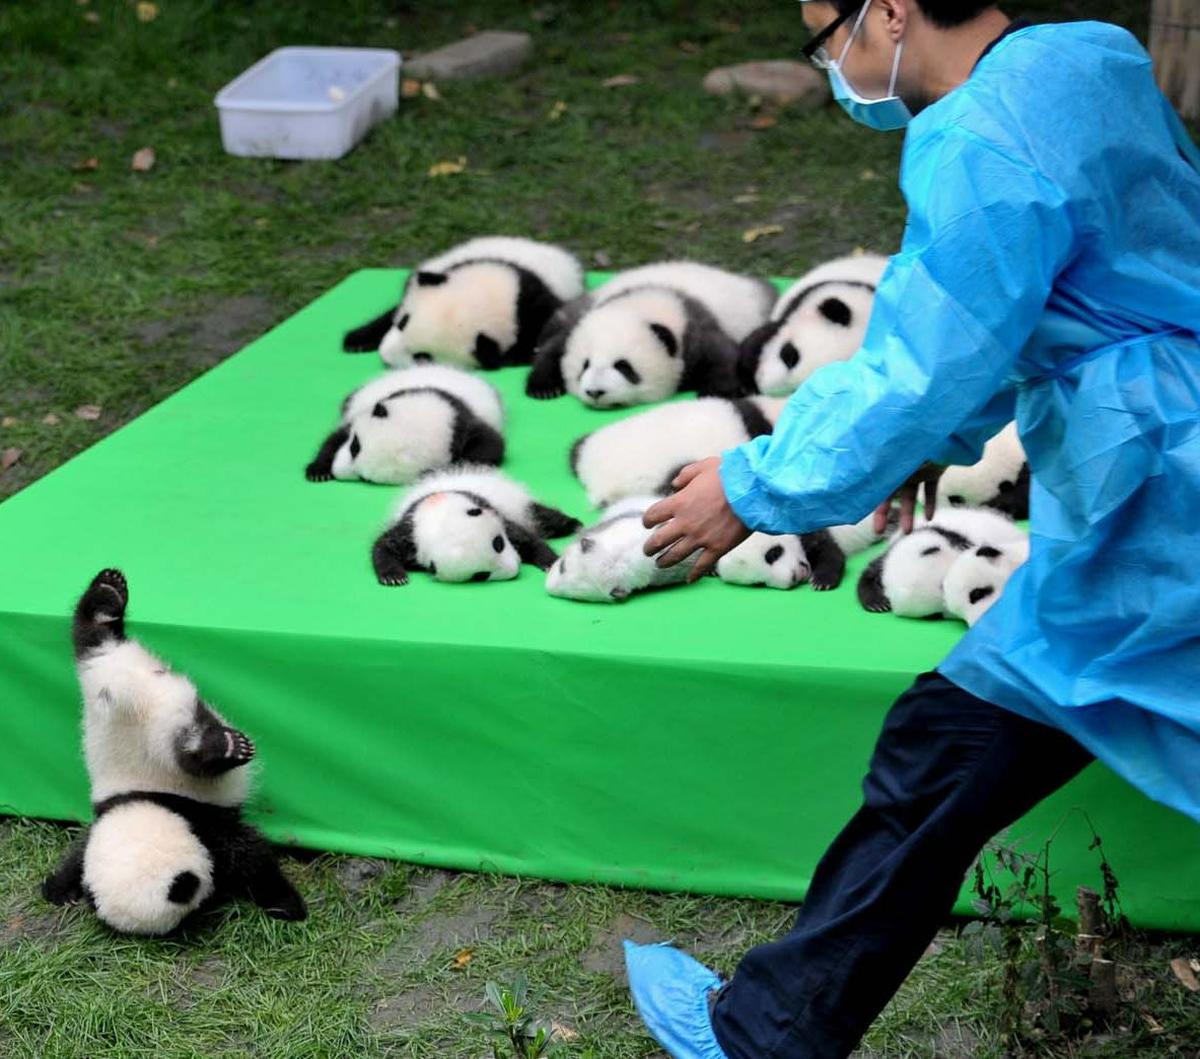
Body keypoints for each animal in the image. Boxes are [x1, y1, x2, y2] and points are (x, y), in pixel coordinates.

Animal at [41, 569, 306, 935]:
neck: (152, 804)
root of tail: (125, 693)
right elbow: (79, 853)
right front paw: (60, 889)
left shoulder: (200, 821)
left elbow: (251, 859)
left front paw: (287, 905)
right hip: (104, 678)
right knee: (93, 636)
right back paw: (107, 595)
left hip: (119, 707)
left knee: (189, 758)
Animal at [305, 365, 505, 485]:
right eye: (355, 446)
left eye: (365, 479)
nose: (337, 472)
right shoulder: (366, 408)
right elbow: (337, 436)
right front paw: (318, 470)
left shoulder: (468, 424)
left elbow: (489, 446)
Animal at [342, 237, 584, 369]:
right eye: (403, 323)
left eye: (423, 357)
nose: (385, 357)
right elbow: (391, 311)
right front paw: (357, 340)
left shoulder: (535, 311)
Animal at [372, 466, 581, 586]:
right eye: (481, 575)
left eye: (499, 544)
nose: (514, 569)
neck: (439, 514)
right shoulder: (410, 530)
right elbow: (383, 546)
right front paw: (394, 576)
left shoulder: (493, 511)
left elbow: (527, 538)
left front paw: (550, 562)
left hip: (519, 503)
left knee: (543, 517)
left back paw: (572, 523)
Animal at [525, 261, 776, 408]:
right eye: (585, 365)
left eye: (623, 367)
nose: (595, 392)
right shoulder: (584, 318)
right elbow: (555, 348)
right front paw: (544, 388)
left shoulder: (695, 329)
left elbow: (723, 354)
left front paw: (715, 392)